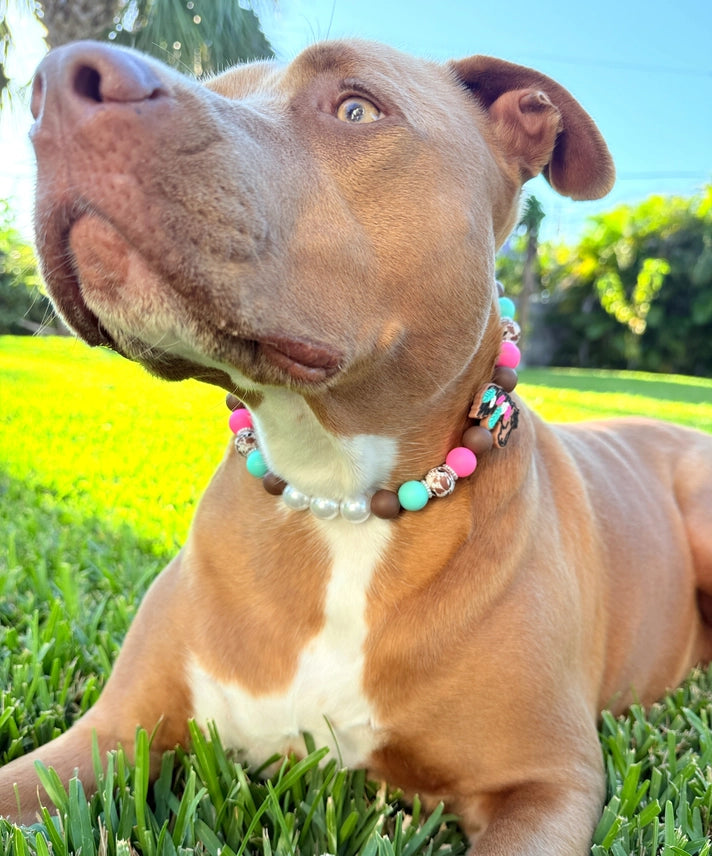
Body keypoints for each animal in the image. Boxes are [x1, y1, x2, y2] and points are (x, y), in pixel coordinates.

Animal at [2, 37, 711, 855]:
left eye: (355, 109)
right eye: (222, 89)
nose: (59, 78)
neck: (334, 487)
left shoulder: (545, 785)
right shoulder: (110, 733)